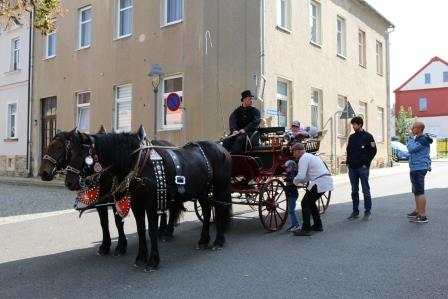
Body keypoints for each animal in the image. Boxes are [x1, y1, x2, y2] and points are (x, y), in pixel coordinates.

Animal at [65, 132, 233, 274]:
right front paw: (140, 257)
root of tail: (222, 148)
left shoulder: (151, 204)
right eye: (70, 152)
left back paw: (218, 241)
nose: (68, 182)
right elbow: (140, 230)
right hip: (202, 191)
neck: (140, 164)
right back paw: (203, 240)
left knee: (220, 208)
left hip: (220, 187)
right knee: (206, 211)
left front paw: (153, 261)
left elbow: (151, 231)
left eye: (81, 153)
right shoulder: (136, 205)